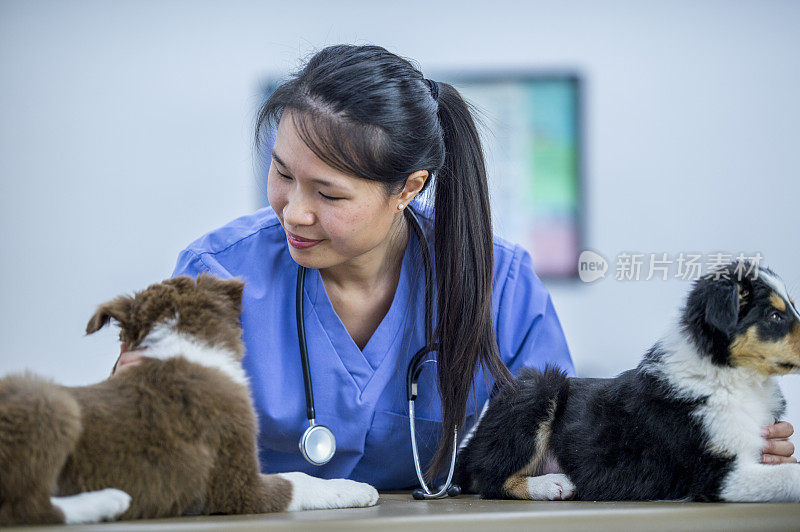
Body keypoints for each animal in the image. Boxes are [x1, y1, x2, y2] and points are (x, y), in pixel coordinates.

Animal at [0, 276, 380, 524]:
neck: (179, 341)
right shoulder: (238, 485)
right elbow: (300, 480)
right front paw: (357, 488)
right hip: (50, 403)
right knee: (28, 507)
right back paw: (107, 501)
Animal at [456, 262, 800, 502]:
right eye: (774, 316)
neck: (737, 379)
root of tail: (473, 441)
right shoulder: (710, 473)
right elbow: (790, 474)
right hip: (538, 389)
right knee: (489, 477)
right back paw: (552, 484)